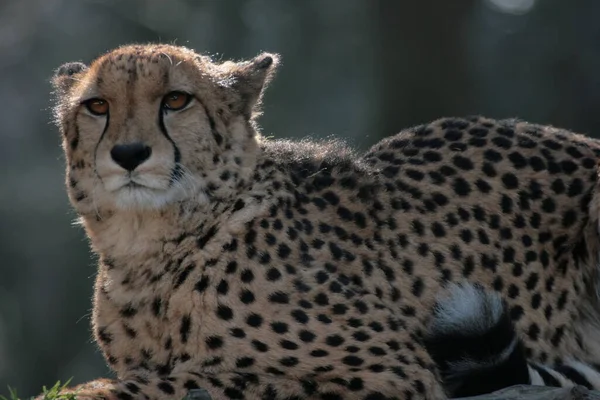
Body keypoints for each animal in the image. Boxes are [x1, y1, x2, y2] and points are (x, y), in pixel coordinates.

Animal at [47, 42, 600, 398]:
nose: (129, 154)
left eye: (176, 100)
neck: (150, 247)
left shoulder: (394, 372)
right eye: (97, 106)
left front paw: (90, 391)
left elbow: (198, 379)